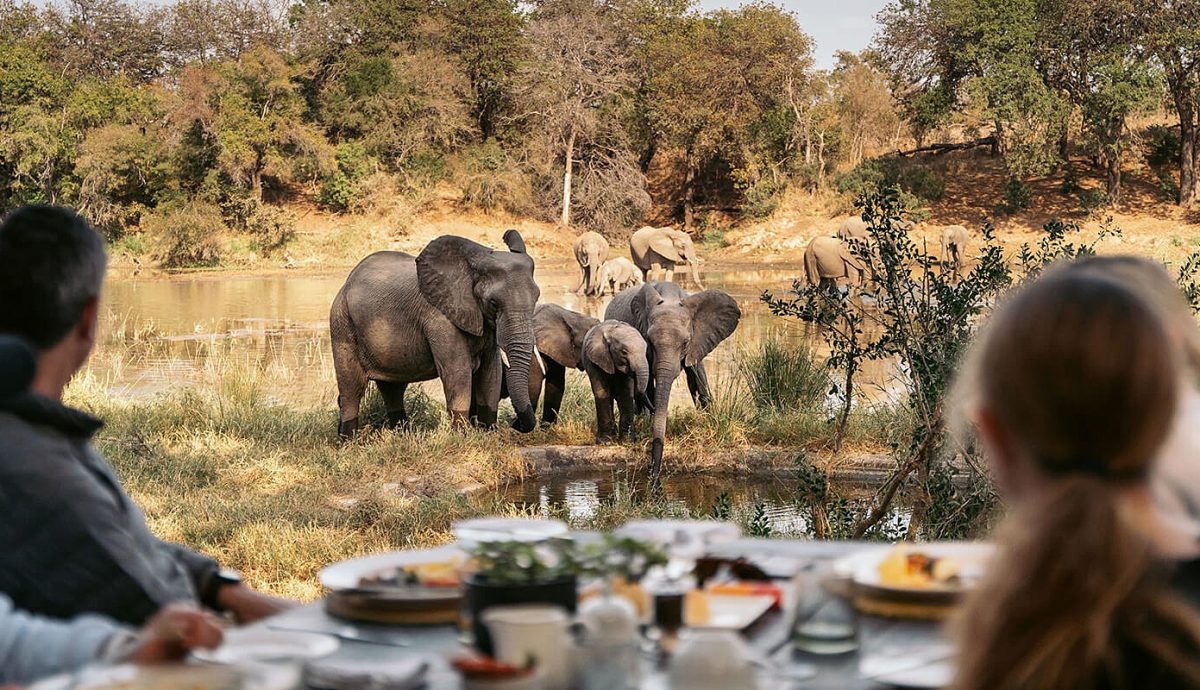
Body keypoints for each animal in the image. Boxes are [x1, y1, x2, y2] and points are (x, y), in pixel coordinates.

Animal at [329, 230, 540, 439]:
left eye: (537, 298)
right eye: (494, 303)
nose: (515, 422)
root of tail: (346, 284)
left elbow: (491, 372)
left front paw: (489, 434)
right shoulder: (439, 318)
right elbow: (458, 371)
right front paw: (462, 437)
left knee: (393, 389)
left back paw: (401, 435)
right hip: (342, 323)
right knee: (352, 389)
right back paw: (349, 441)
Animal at [606, 281, 741, 478]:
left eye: (685, 343)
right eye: (649, 341)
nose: (654, 474)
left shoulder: (699, 340)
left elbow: (697, 375)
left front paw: (709, 418)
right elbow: (649, 382)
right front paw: (650, 420)